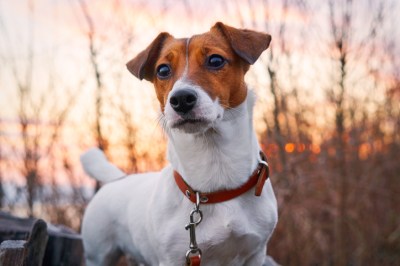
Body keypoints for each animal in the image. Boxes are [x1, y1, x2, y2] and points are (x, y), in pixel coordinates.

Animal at [81, 21, 278, 264]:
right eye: (163, 70)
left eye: (215, 60)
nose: (181, 99)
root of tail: (117, 179)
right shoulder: (172, 258)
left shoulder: (256, 253)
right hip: (98, 255)